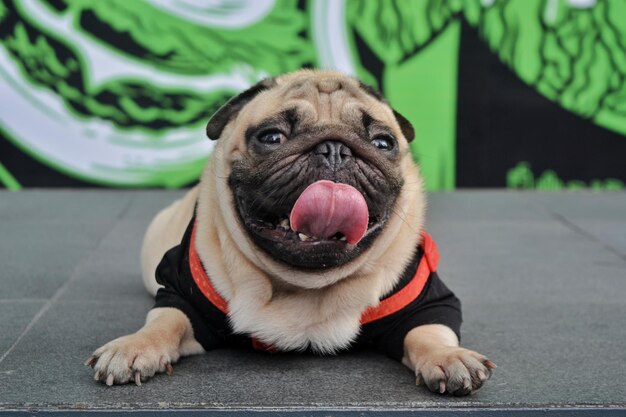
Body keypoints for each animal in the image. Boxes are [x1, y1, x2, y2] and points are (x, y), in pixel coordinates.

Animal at [85, 70, 494, 394]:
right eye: (271, 137)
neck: (303, 285)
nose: (334, 147)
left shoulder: (427, 302)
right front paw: (134, 348)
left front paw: (449, 358)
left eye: (383, 143)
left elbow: (428, 333)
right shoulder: (183, 295)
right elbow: (164, 322)